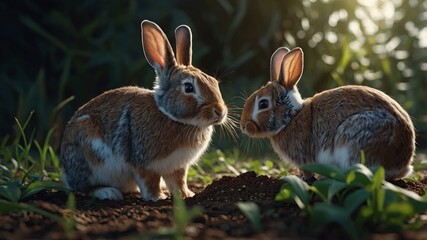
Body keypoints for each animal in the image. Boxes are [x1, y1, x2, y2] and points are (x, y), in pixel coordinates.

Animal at [60, 20, 229, 201]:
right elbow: (149, 181)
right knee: (84, 187)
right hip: (88, 154)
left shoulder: (178, 166)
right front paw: (157, 197)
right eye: (189, 88)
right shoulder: (144, 163)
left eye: (214, 82)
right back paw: (108, 192)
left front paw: (186, 195)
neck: (170, 116)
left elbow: (179, 181)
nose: (220, 111)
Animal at [242, 47, 416, 179]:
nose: (243, 127)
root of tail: (401, 163)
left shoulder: (304, 157)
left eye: (263, 104)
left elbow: (306, 171)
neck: (292, 117)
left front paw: (302, 179)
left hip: (354, 136)